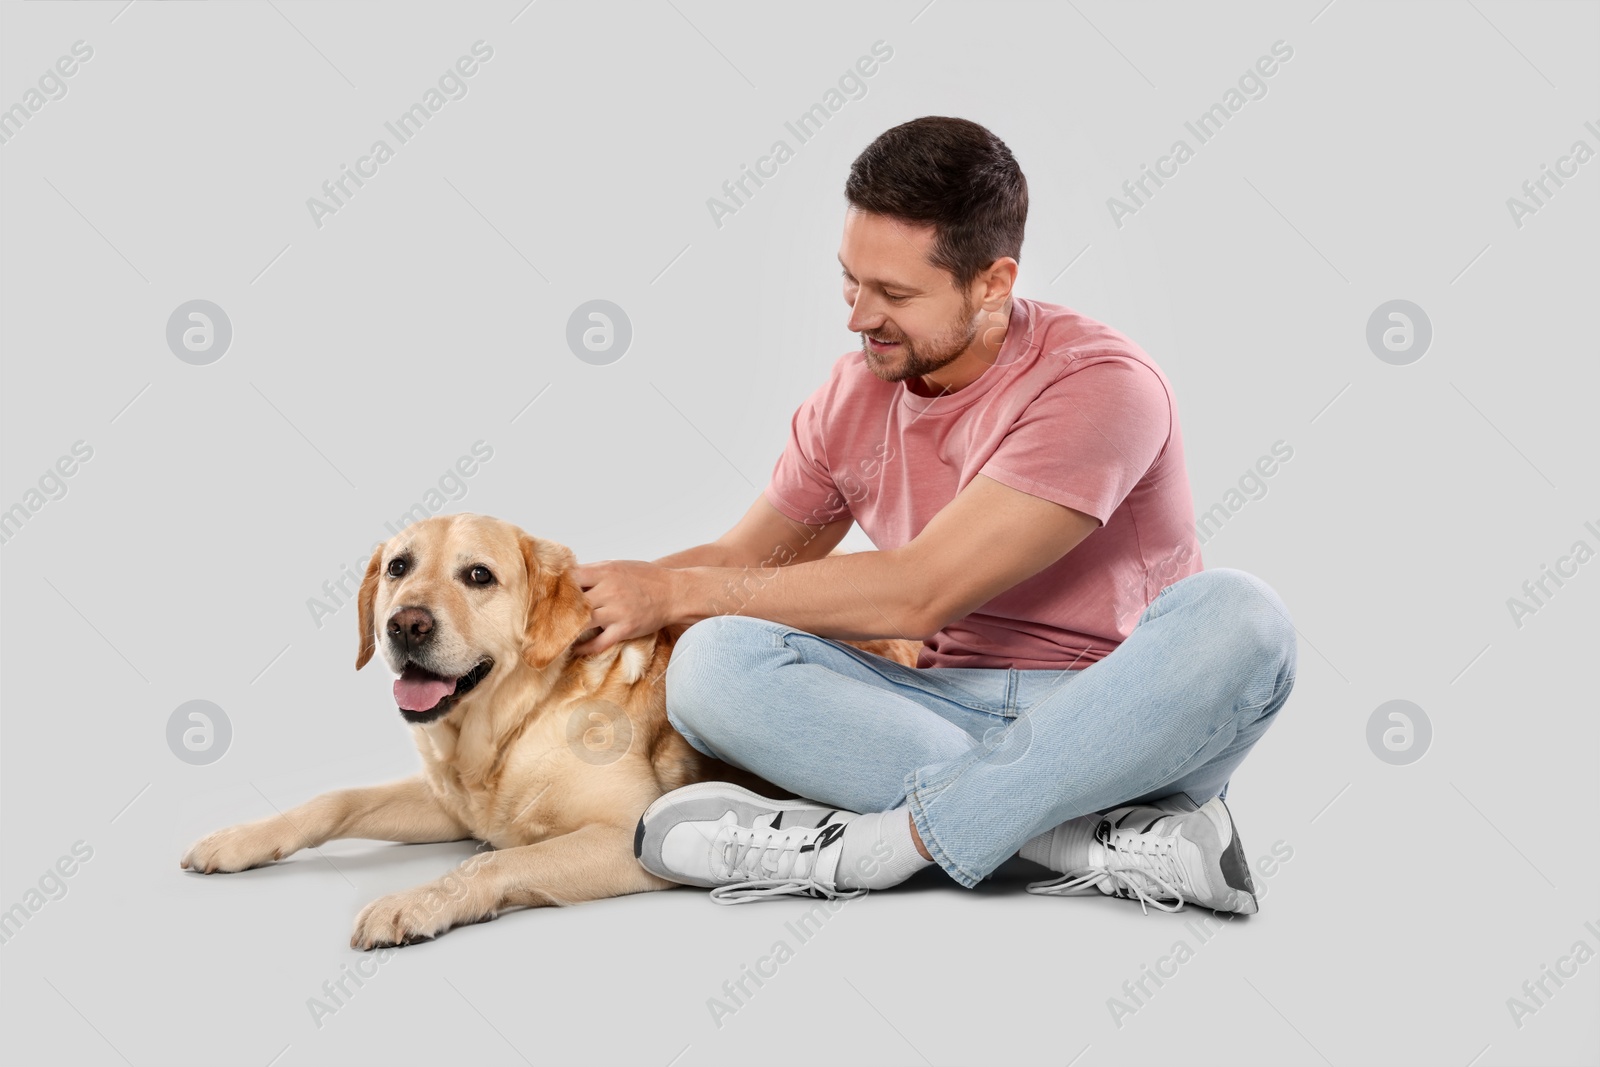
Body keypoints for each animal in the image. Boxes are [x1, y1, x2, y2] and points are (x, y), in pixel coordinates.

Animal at [180, 511, 921, 947]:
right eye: (398, 567)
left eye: (479, 575)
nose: (405, 625)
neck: (507, 727)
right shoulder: (453, 805)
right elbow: (335, 800)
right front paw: (239, 838)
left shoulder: (626, 835)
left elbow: (498, 859)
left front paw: (416, 902)